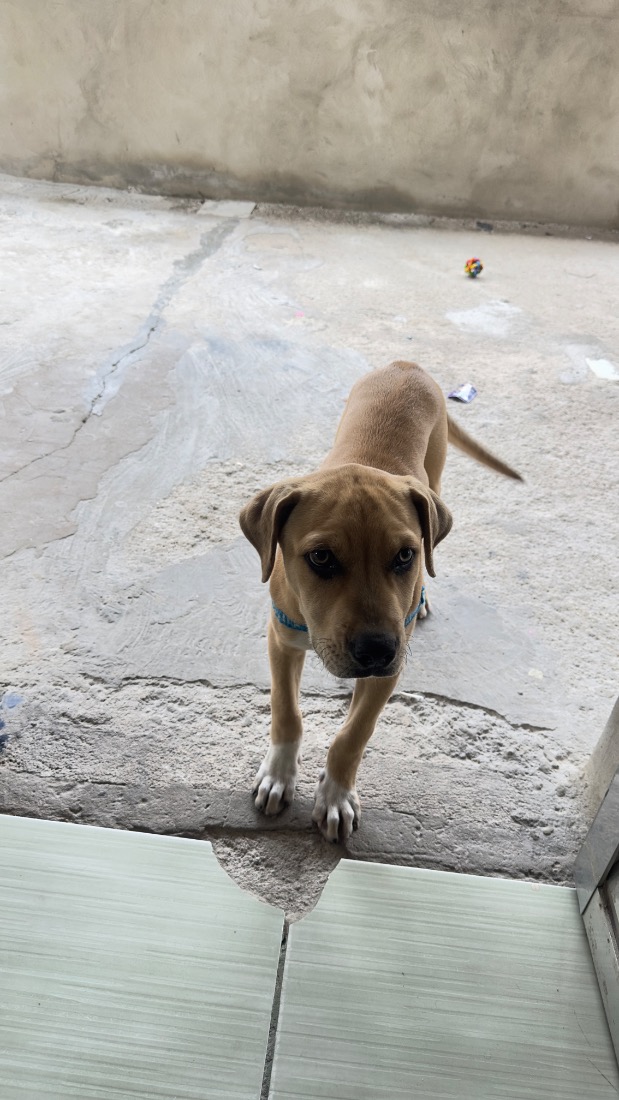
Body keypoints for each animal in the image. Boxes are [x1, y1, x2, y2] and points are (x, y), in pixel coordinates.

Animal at [239, 361, 521, 842]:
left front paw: (335, 795)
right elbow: (286, 710)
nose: (376, 651)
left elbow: (354, 734)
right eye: (321, 558)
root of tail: (407, 366)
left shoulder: (392, 668)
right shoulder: (281, 639)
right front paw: (278, 775)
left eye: (405, 555)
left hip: (435, 473)